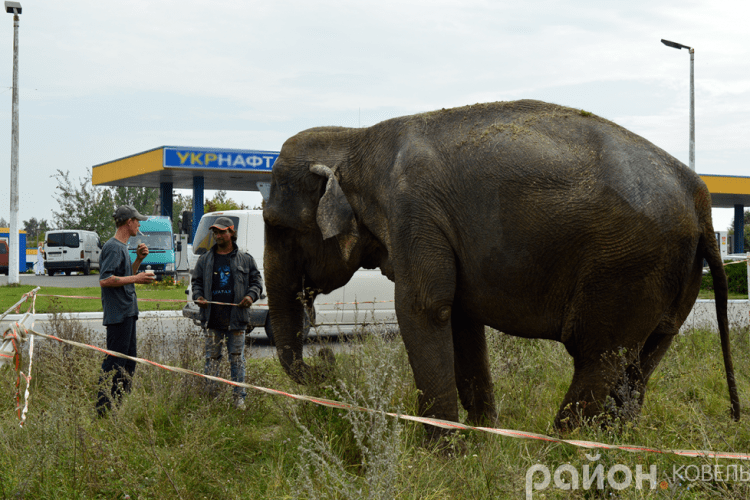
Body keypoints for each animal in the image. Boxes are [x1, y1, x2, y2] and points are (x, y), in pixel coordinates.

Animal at [262, 99, 740, 435]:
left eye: (279, 227)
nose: (326, 362)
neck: (356, 140)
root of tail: (700, 196)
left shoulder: (414, 213)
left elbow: (423, 310)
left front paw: (441, 456)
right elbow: (460, 319)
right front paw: (483, 442)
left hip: (627, 268)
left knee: (600, 357)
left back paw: (560, 451)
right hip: (673, 276)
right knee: (641, 362)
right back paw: (614, 447)